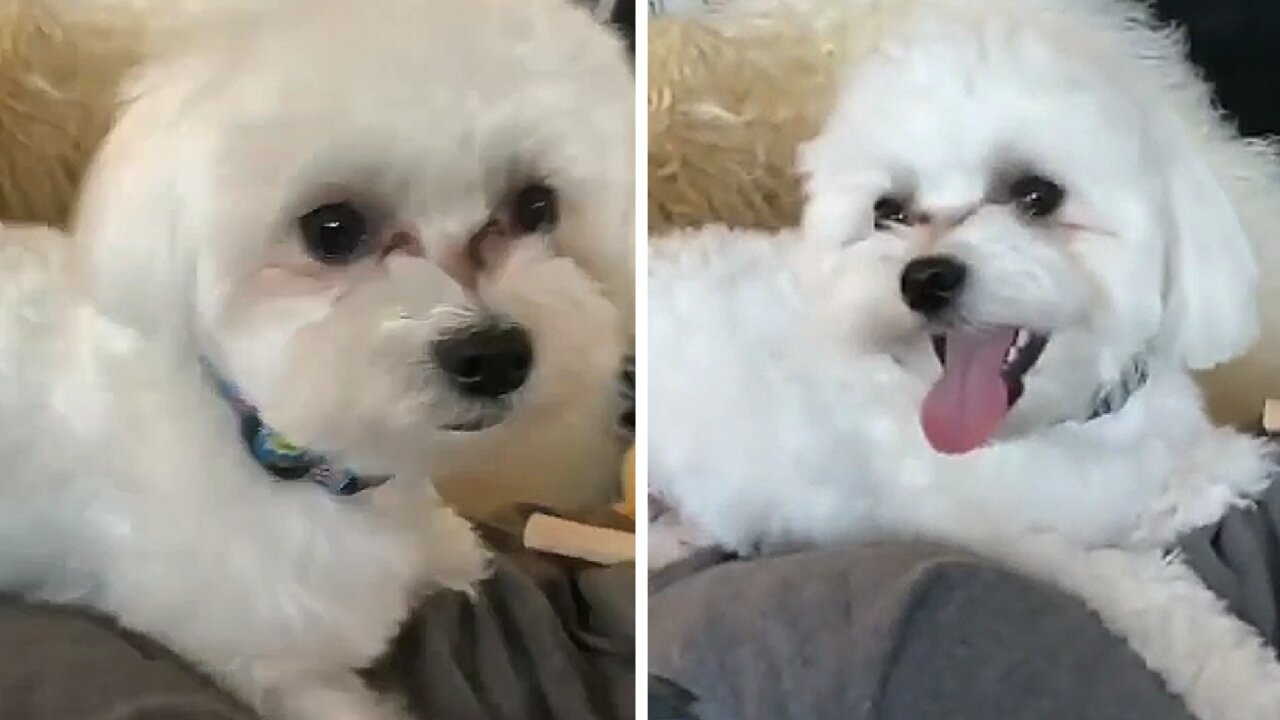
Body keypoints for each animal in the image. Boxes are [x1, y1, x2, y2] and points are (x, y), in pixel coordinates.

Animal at [0, 1, 632, 717]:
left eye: (536, 205)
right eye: (332, 229)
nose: (496, 356)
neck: (283, 451)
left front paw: (446, 549)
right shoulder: (263, 662)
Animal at [655, 1, 1280, 717]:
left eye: (1037, 194)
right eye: (888, 210)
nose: (925, 279)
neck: (1062, 423)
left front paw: (1226, 468)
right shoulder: (1034, 543)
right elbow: (1152, 592)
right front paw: (1245, 681)